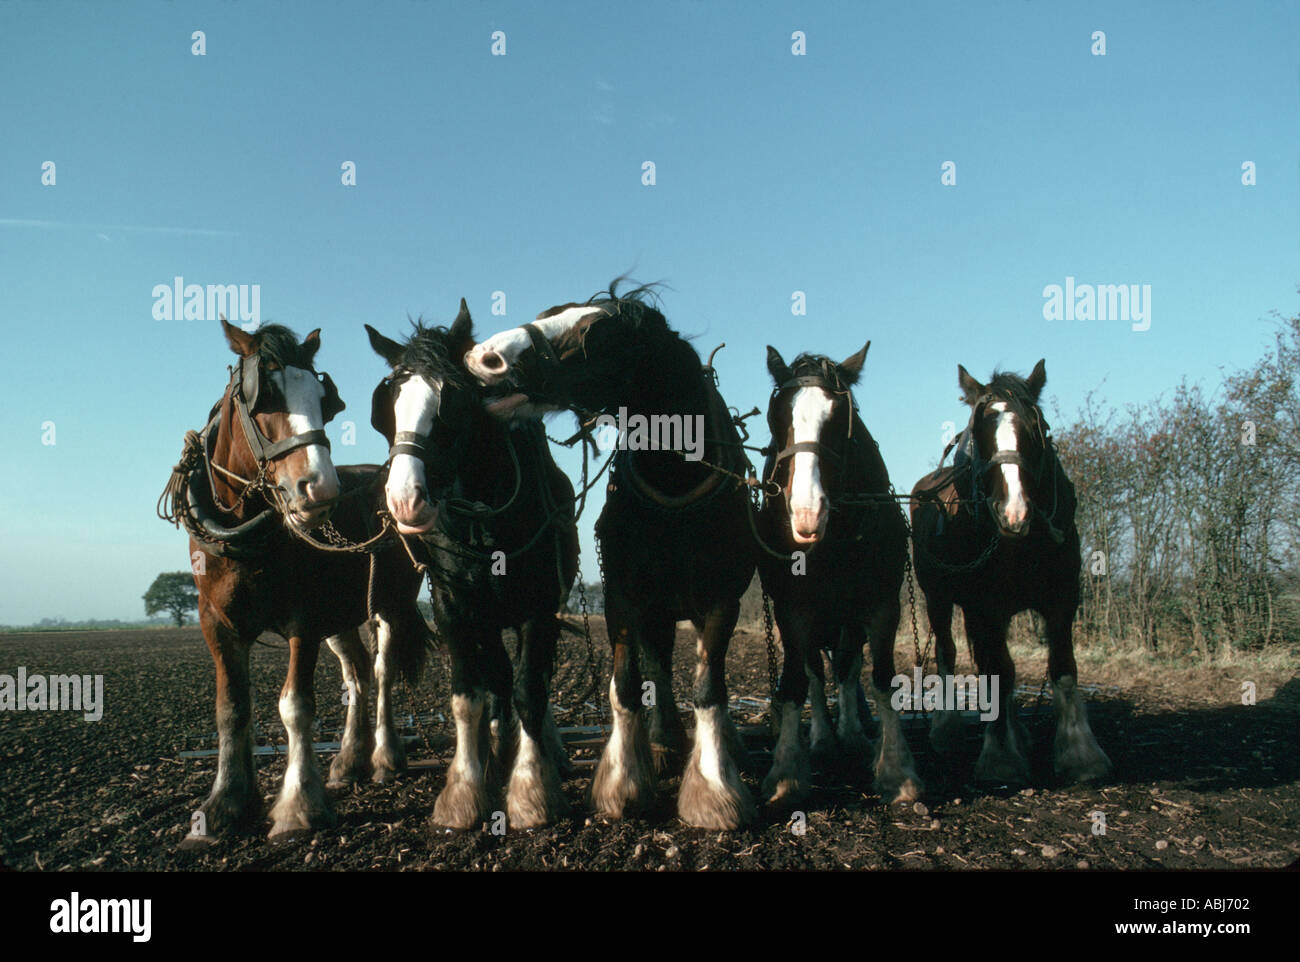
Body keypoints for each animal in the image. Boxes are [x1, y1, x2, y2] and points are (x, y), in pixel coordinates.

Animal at [159, 320, 428, 842]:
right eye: (263, 399)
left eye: (325, 401)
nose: (320, 490)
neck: (245, 531)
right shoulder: (216, 622)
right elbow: (232, 707)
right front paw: (225, 804)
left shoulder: (303, 621)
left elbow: (296, 706)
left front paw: (299, 806)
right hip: (340, 617)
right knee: (357, 673)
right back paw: (348, 762)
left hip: (390, 605)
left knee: (382, 671)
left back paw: (385, 758)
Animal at [365, 299, 579, 829]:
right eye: (387, 406)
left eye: (454, 400)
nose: (404, 500)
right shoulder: (454, 607)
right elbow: (468, 696)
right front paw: (464, 789)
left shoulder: (540, 606)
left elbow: (531, 688)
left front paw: (531, 791)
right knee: (496, 677)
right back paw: (497, 746)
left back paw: (546, 749)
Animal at [465, 282, 758, 829]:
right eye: (550, 313)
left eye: (596, 334)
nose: (484, 357)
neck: (675, 487)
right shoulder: (625, 595)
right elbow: (626, 682)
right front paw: (623, 784)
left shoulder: (722, 599)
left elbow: (710, 686)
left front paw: (714, 791)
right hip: (658, 610)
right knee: (659, 665)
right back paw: (663, 743)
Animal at [757, 345, 921, 809]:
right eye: (778, 415)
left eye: (842, 417)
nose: (807, 514)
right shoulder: (793, 612)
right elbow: (796, 681)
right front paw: (787, 774)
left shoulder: (881, 606)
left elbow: (880, 678)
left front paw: (896, 771)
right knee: (815, 671)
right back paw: (824, 738)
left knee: (847, 666)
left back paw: (850, 733)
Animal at [909, 360, 1112, 786]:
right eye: (979, 433)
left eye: (1036, 427)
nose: (1013, 512)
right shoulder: (983, 608)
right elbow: (998, 671)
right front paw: (1000, 757)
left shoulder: (1061, 601)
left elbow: (1061, 668)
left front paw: (1080, 754)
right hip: (938, 599)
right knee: (948, 653)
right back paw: (947, 729)